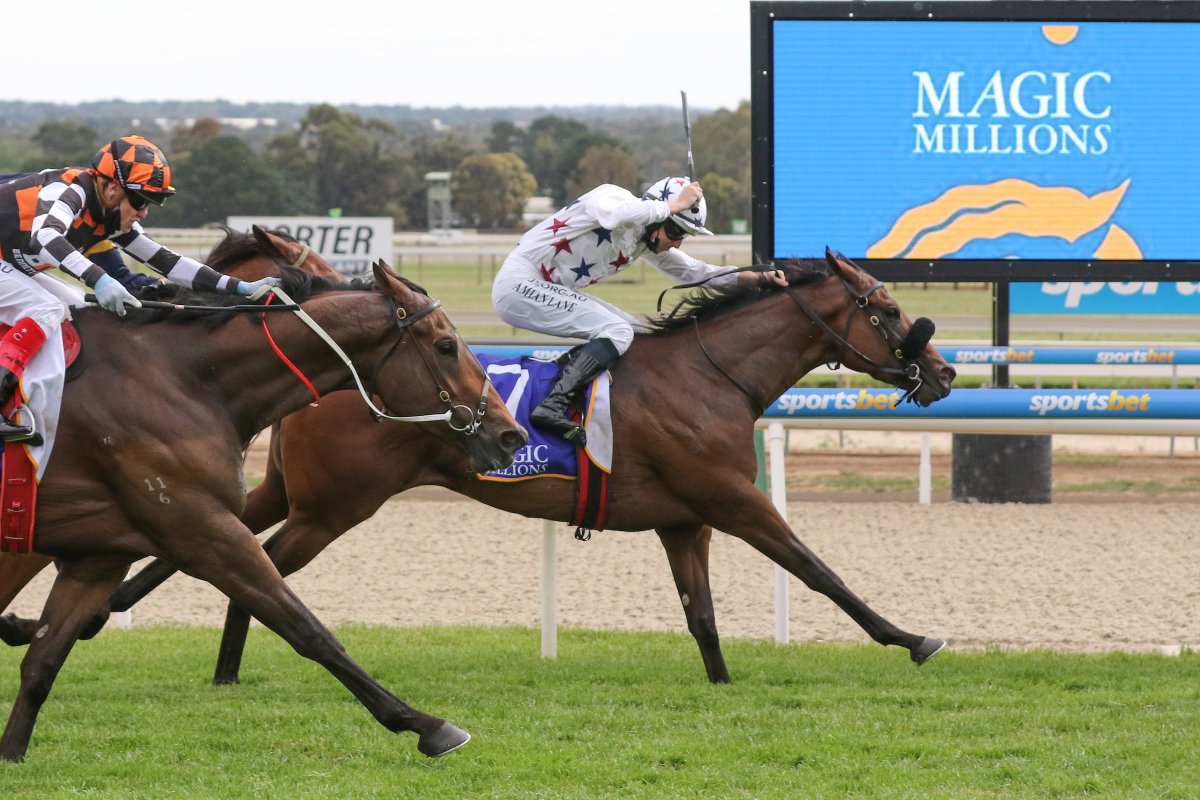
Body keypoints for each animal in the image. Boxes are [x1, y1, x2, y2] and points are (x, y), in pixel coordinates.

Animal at [0, 259, 527, 761]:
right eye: (445, 345)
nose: (511, 435)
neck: (184, 379)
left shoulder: (98, 558)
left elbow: (43, 663)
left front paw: (12, 753)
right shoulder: (207, 533)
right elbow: (308, 630)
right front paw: (428, 726)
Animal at [66, 238, 957, 687]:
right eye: (885, 309)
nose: (943, 372)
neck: (710, 374)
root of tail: (334, 374)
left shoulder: (685, 521)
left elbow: (701, 614)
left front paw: (722, 686)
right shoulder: (733, 499)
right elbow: (817, 569)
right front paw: (911, 638)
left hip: (296, 491)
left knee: (210, 545)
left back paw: (101, 614)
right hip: (336, 506)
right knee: (257, 571)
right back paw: (219, 670)